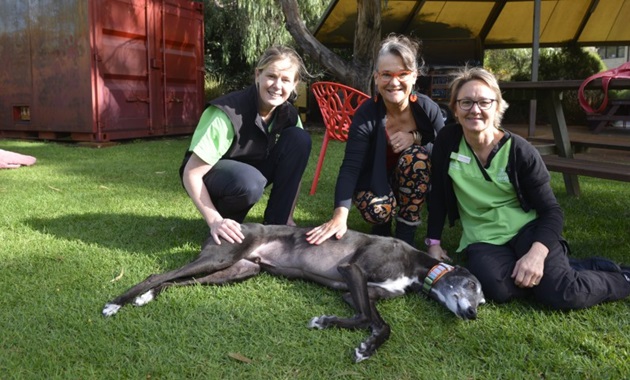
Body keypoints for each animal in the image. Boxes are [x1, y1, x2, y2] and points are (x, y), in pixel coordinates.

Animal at [103, 223, 484, 362]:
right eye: (471, 284)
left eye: (481, 299)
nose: (473, 314)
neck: (418, 267)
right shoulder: (354, 270)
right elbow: (368, 318)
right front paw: (352, 339)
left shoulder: (356, 291)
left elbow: (374, 321)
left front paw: (355, 340)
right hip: (220, 258)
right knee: (158, 273)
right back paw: (116, 303)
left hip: (236, 271)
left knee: (173, 281)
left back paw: (145, 298)